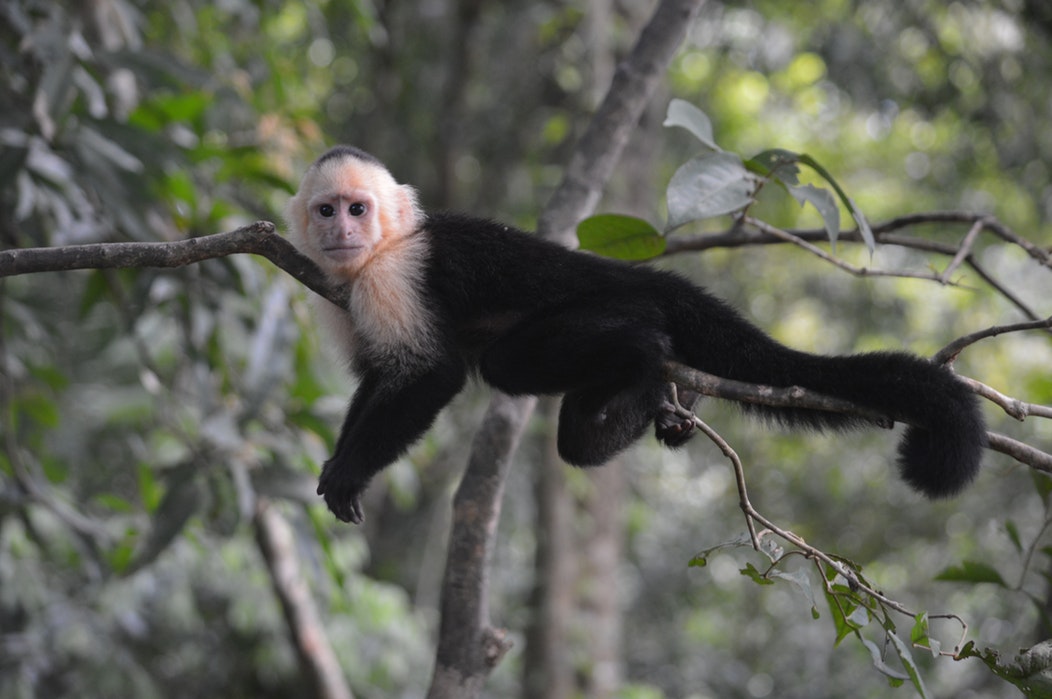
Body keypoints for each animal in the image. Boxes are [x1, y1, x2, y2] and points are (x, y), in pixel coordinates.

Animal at [284, 144, 980, 522]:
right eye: (326, 210)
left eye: (359, 209)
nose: (341, 231)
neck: (379, 252)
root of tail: (641, 276)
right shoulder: (342, 291)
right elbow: (378, 376)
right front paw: (337, 460)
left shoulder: (393, 275)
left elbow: (433, 373)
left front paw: (351, 472)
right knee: (573, 437)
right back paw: (660, 402)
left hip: (609, 301)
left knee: (518, 361)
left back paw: (645, 359)